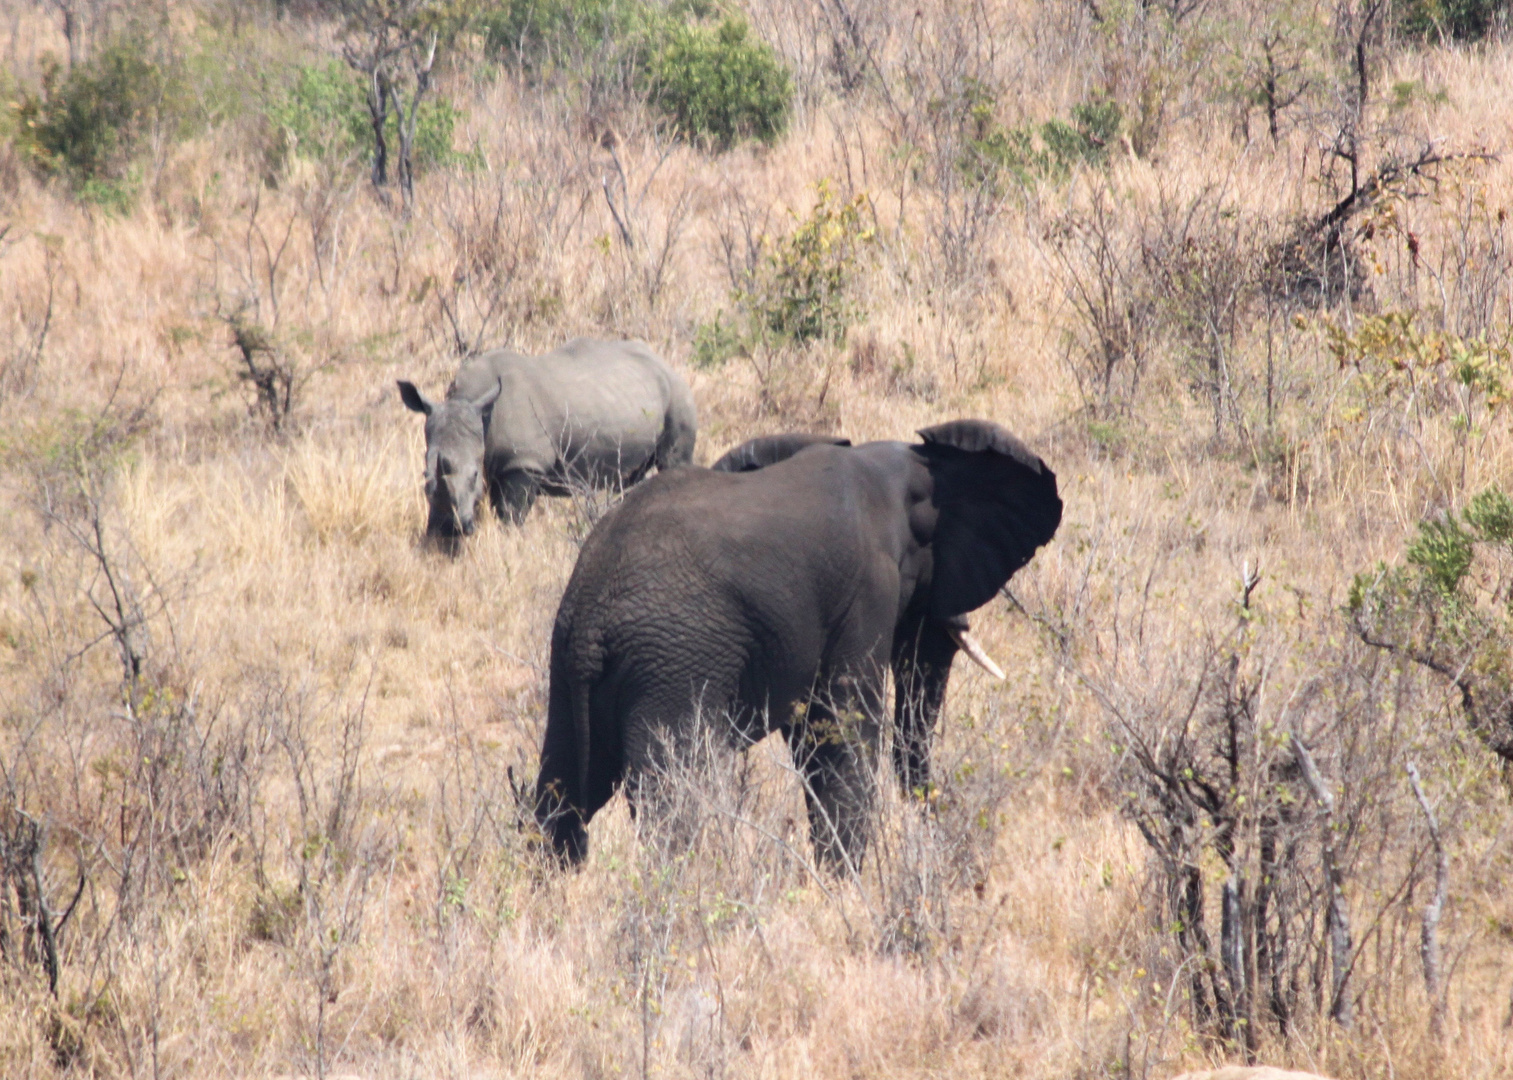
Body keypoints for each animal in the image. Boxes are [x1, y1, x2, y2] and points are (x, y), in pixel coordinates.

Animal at [393, 335, 692, 541]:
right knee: (629, 479)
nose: (449, 529)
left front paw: (509, 543)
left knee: (673, 461)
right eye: (424, 475)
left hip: (678, 394)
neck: (470, 400)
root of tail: (663, 361)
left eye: (474, 475)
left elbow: (510, 516)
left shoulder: (523, 463)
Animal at [532, 414, 1065, 865]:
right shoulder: (866, 589)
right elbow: (842, 729)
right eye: (926, 556)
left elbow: (813, 730)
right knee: (672, 799)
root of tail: (592, 622)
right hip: (671, 664)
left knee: (561, 789)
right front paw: (845, 887)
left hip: (568, 663)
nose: (936, 826)